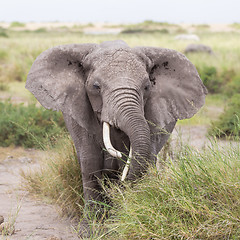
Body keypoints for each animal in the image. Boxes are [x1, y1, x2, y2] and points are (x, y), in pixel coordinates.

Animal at [25, 39, 206, 236]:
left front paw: (119, 222)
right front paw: (91, 230)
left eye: (147, 87)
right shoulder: (78, 115)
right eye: (96, 87)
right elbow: (90, 162)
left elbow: (141, 159)